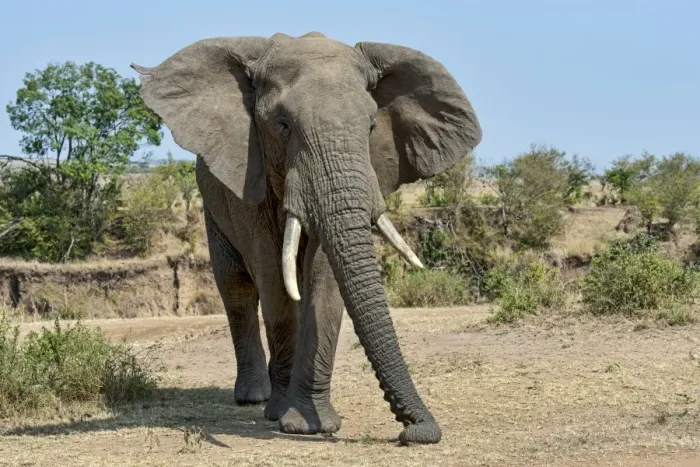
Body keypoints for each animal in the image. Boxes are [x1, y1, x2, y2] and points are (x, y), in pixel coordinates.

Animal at [131, 31, 481, 445]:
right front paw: (284, 417)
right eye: (283, 126)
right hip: (211, 204)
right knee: (237, 288)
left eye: (371, 127)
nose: (417, 430)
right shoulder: (249, 174)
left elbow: (323, 280)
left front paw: (313, 424)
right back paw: (254, 397)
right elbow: (272, 279)